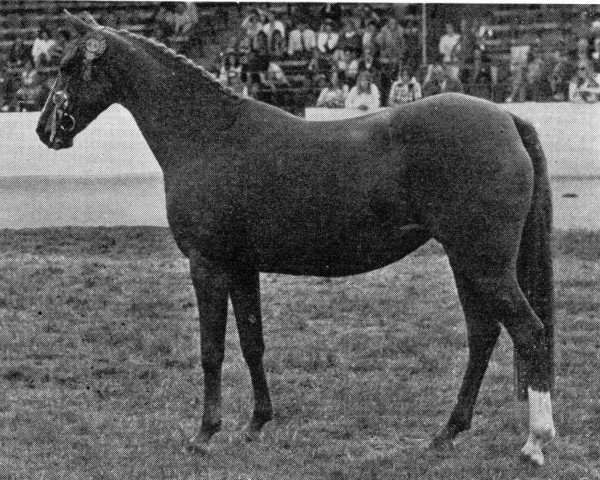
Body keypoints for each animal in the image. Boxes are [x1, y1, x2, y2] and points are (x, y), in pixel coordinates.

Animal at [35, 13, 556, 464]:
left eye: (67, 66)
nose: (44, 130)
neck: (208, 136)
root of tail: (507, 119)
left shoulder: (208, 265)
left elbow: (211, 350)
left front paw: (205, 434)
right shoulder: (241, 267)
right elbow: (252, 342)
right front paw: (255, 424)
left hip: (483, 264)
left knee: (529, 333)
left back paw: (534, 443)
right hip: (466, 262)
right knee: (484, 335)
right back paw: (447, 433)